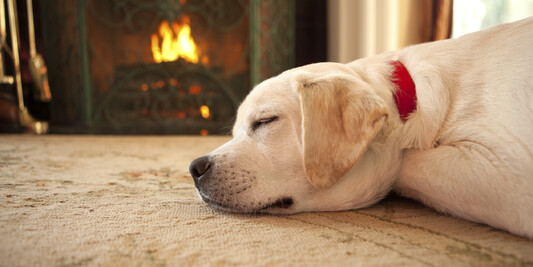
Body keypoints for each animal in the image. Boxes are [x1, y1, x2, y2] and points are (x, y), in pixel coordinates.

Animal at [189, 17, 528, 239]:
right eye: (234, 132)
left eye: (265, 121)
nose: (195, 167)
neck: (411, 102)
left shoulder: (506, 173)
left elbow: (406, 161)